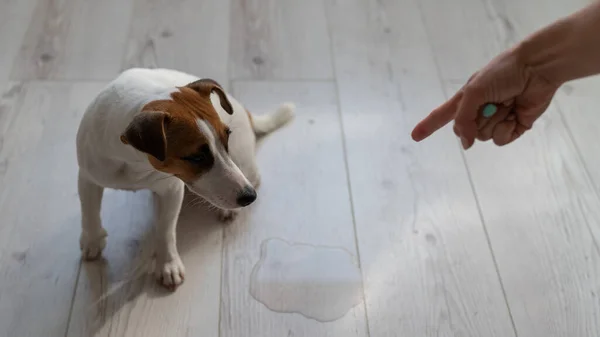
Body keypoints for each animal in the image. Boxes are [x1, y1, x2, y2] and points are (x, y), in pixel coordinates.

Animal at [77, 67, 296, 288]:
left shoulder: (171, 190)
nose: (249, 197)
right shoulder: (88, 179)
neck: (135, 162)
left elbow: (165, 230)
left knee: (254, 175)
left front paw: (168, 264)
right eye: (196, 157)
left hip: (242, 158)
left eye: (226, 138)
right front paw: (92, 240)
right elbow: (90, 212)